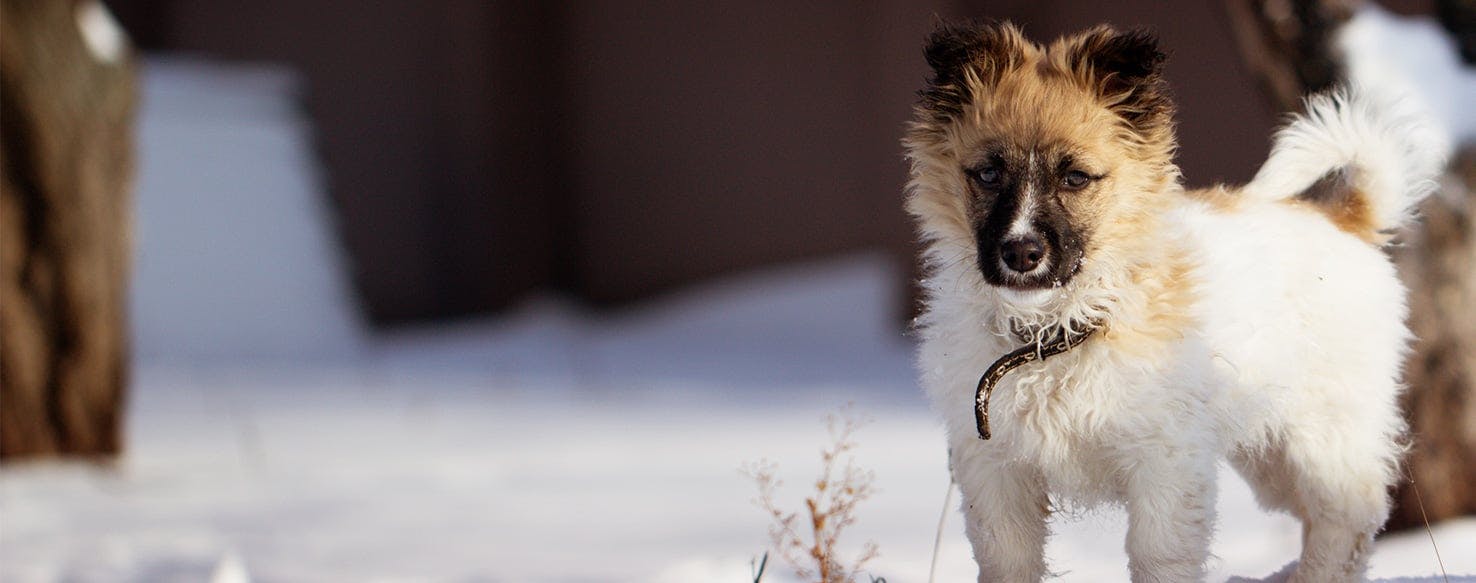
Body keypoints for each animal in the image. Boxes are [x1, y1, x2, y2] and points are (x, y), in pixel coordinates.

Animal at [903, 20, 1446, 581]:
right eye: (988, 175)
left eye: (1075, 177)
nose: (1021, 252)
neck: (1055, 334)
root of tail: (1345, 218)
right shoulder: (996, 473)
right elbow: (1007, 560)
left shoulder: (1165, 465)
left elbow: (1159, 556)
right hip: (1269, 455)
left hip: (1324, 437)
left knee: (1347, 521)